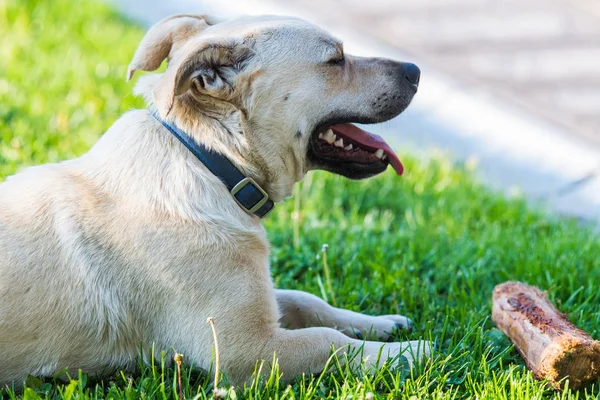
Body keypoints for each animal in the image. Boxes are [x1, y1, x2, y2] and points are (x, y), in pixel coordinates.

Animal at [0, 13, 432, 388]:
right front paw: (407, 353)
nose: (416, 70)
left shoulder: (256, 304)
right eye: (335, 60)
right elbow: (327, 341)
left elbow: (306, 300)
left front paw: (382, 325)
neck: (211, 160)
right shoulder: (245, 350)